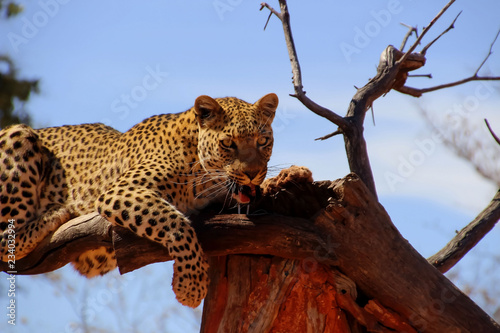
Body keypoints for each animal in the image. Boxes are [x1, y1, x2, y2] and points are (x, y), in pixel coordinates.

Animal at [0, 92, 278, 306]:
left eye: (263, 141)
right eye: (228, 143)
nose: (252, 174)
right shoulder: (120, 191)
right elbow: (178, 224)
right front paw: (191, 286)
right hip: (16, 135)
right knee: (5, 239)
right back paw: (56, 214)